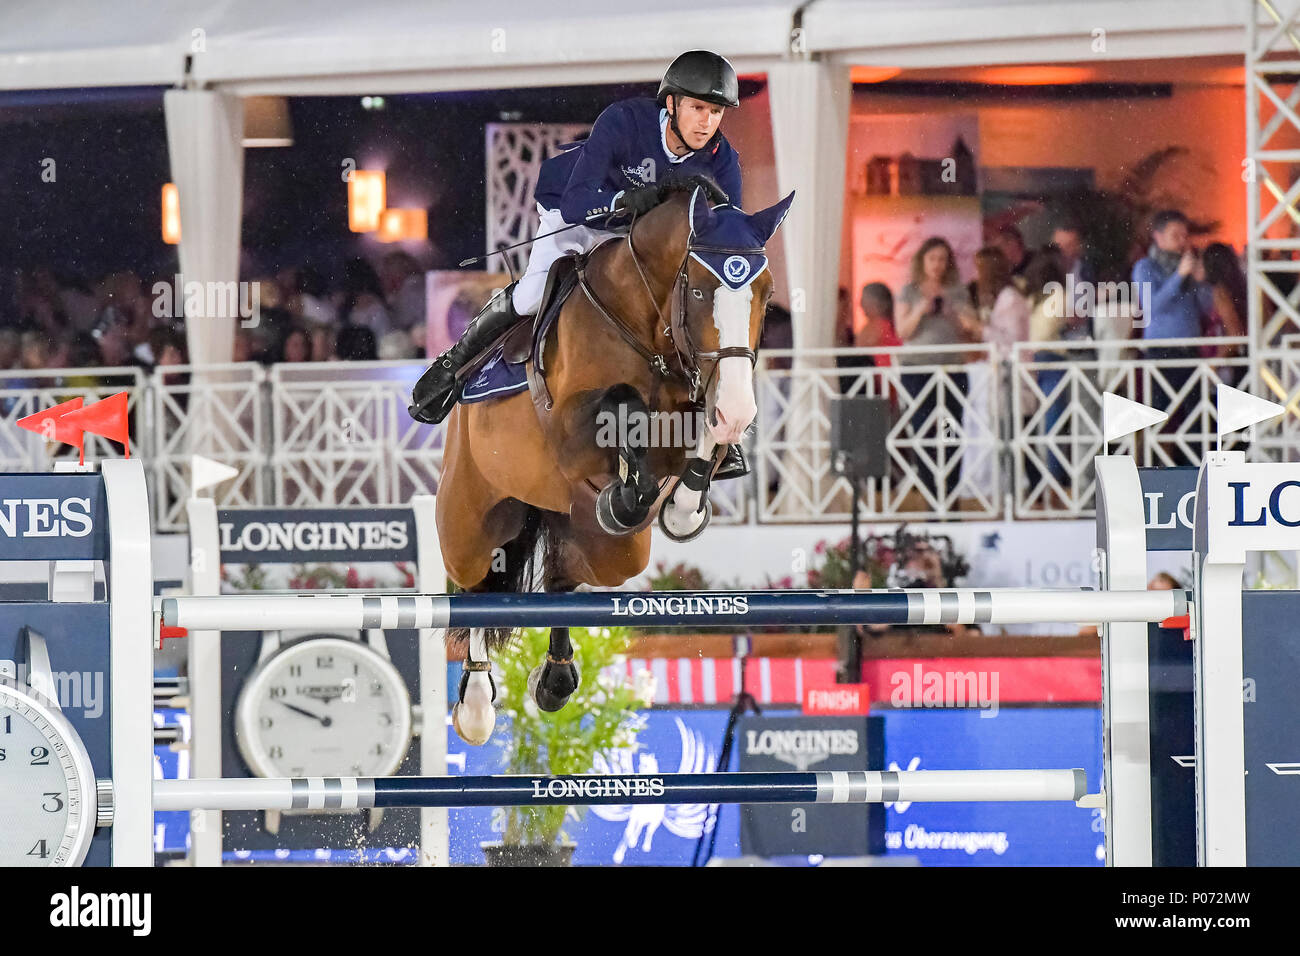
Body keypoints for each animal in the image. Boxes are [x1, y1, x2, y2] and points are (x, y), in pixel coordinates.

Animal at [436, 180, 790, 749]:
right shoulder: (569, 429)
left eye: (768, 295)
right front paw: (630, 494)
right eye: (697, 292)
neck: (649, 326)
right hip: (470, 518)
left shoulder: (704, 397)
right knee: (473, 584)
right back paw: (474, 705)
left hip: (609, 550)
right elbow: (624, 405)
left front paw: (680, 508)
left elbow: (705, 435)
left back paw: (555, 679)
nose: (740, 407)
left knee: (563, 575)